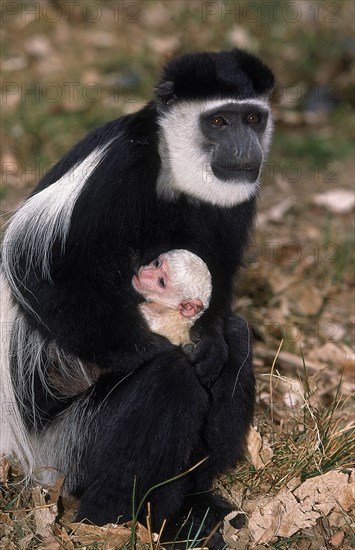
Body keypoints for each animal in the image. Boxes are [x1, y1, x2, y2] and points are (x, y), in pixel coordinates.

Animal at [0, 48, 276, 548]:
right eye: (218, 121)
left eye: (252, 117)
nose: (246, 144)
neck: (173, 172)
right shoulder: (119, 167)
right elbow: (40, 274)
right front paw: (150, 350)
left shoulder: (239, 195)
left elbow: (220, 286)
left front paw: (209, 342)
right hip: (67, 448)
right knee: (168, 380)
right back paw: (113, 521)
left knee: (238, 335)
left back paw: (192, 508)